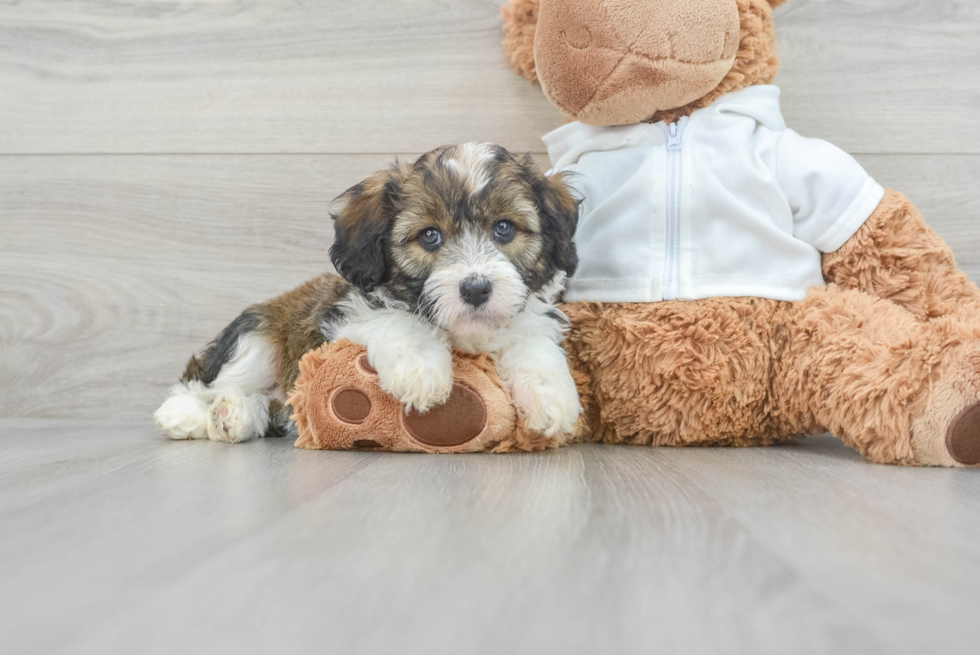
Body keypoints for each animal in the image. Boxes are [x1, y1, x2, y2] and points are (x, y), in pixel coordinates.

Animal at [154, 142, 580, 444]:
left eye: (504, 228)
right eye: (430, 235)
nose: (476, 289)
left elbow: (531, 338)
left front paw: (551, 393)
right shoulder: (342, 317)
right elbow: (396, 319)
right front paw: (422, 368)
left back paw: (237, 415)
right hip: (256, 338)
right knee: (208, 383)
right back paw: (190, 413)